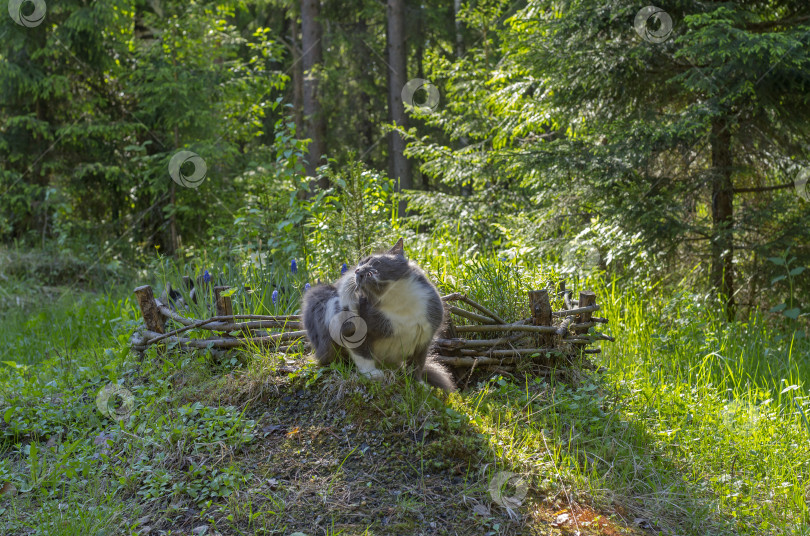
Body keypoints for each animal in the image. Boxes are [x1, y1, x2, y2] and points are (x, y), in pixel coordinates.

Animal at [302, 238, 454, 390]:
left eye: (370, 260)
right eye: (359, 264)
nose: (357, 270)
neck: (398, 300)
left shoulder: (424, 337)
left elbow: (417, 363)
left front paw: (418, 384)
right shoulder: (354, 331)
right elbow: (362, 354)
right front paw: (372, 374)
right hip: (320, 295)